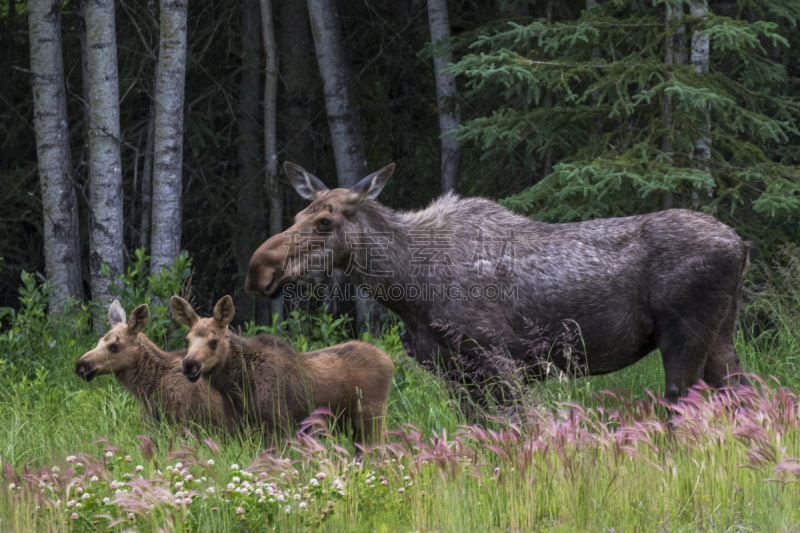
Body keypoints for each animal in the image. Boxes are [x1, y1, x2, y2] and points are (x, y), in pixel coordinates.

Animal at [74, 300, 234, 432]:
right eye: (99, 341)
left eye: (114, 346)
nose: (80, 366)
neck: (147, 388)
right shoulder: (150, 422)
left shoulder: (177, 417)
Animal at [172, 296, 394, 440]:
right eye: (187, 340)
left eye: (214, 341)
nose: (190, 365)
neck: (234, 385)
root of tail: (391, 363)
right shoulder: (242, 425)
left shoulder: (277, 423)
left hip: (371, 416)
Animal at [245, 162, 752, 404]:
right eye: (299, 214)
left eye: (326, 221)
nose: (259, 269)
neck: (407, 288)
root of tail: (742, 245)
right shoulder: (453, 371)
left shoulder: (498, 358)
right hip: (721, 336)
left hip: (684, 334)